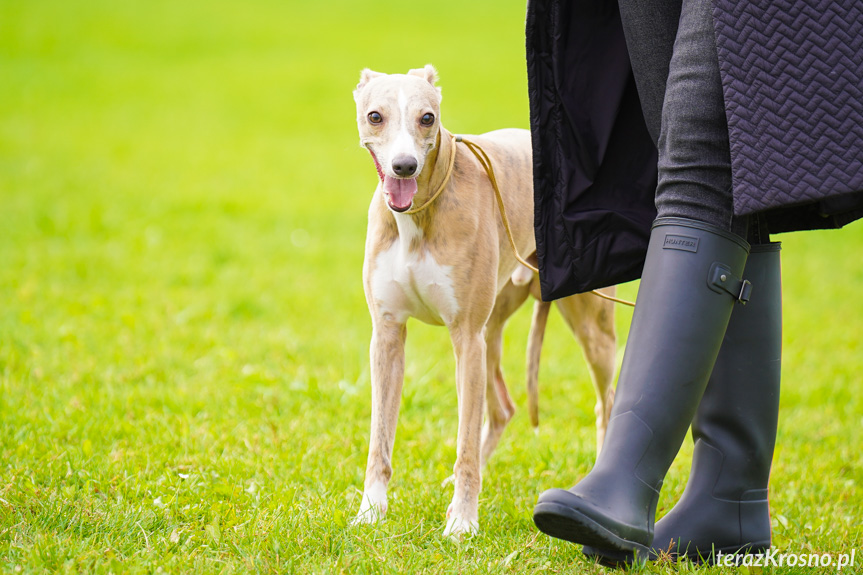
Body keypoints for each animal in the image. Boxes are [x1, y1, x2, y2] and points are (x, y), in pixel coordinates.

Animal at [354, 67, 616, 540]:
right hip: (492, 327)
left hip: (589, 328)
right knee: (503, 408)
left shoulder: (465, 337)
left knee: (606, 403)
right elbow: (380, 438)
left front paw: (461, 521)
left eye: (427, 117)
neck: (419, 213)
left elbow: (464, 444)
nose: (405, 166)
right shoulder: (386, 335)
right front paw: (370, 512)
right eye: (375, 116)